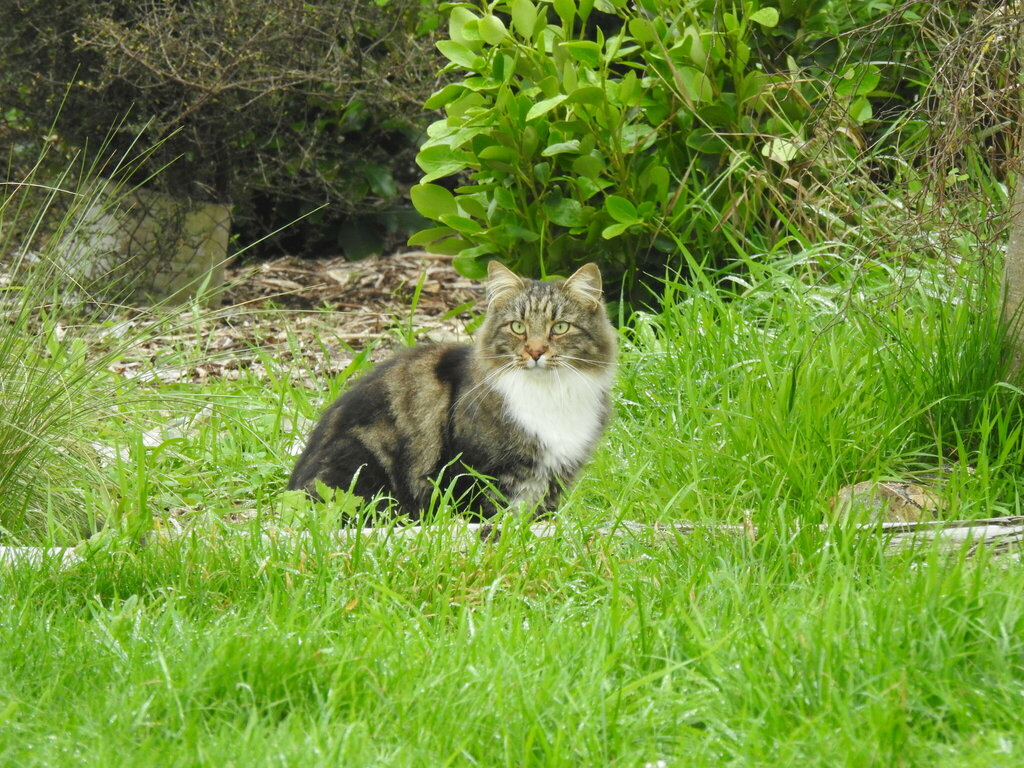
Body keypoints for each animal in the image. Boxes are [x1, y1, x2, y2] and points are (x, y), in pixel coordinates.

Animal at [292, 260, 618, 524]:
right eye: (517, 327)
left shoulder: (554, 478)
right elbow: (489, 513)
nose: (535, 352)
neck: (549, 394)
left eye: (560, 327)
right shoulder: (475, 471)